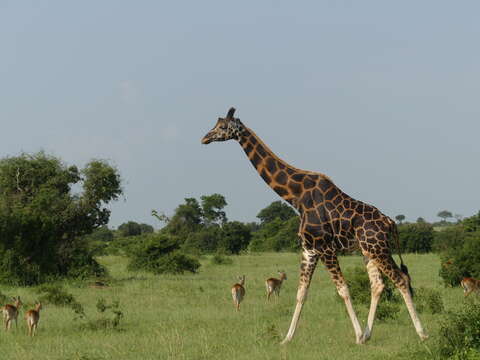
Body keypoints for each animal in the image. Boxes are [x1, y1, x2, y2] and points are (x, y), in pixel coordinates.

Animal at [200, 106, 428, 344]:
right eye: (215, 124)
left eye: (222, 126)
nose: (204, 138)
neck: (296, 198)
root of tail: (390, 223)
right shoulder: (309, 249)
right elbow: (301, 292)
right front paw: (286, 339)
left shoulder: (326, 248)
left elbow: (343, 289)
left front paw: (355, 335)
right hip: (368, 251)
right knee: (378, 285)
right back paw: (368, 335)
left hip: (378, 248)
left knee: (401, 279)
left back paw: (421, 333)